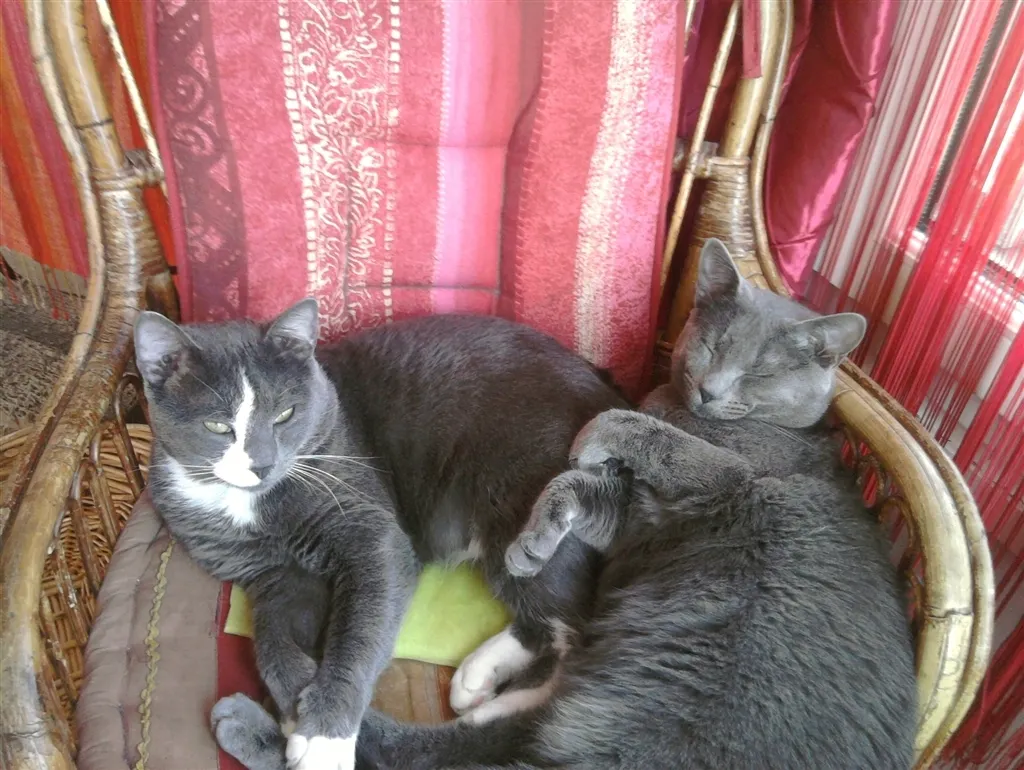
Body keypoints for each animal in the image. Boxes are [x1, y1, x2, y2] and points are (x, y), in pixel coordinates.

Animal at [134, 306, 626, 770]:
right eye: (218, 427)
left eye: (285, 415)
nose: (262, 464)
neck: (250, 506)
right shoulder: (276, 579)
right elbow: (273, 642)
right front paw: (295, 705)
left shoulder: (371, 533)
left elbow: (359, 630)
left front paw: (322, 738)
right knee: (548, 628)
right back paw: (477, 675)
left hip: (524, 524)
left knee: (568, 649)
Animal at [207, 240, 917, 769]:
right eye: (713, 347)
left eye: (763, 375)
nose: (713, 392)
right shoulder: (624, 513)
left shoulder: (723, 475)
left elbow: (638, 440)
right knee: (553, 635)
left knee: (540, 672)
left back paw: (264, 723)